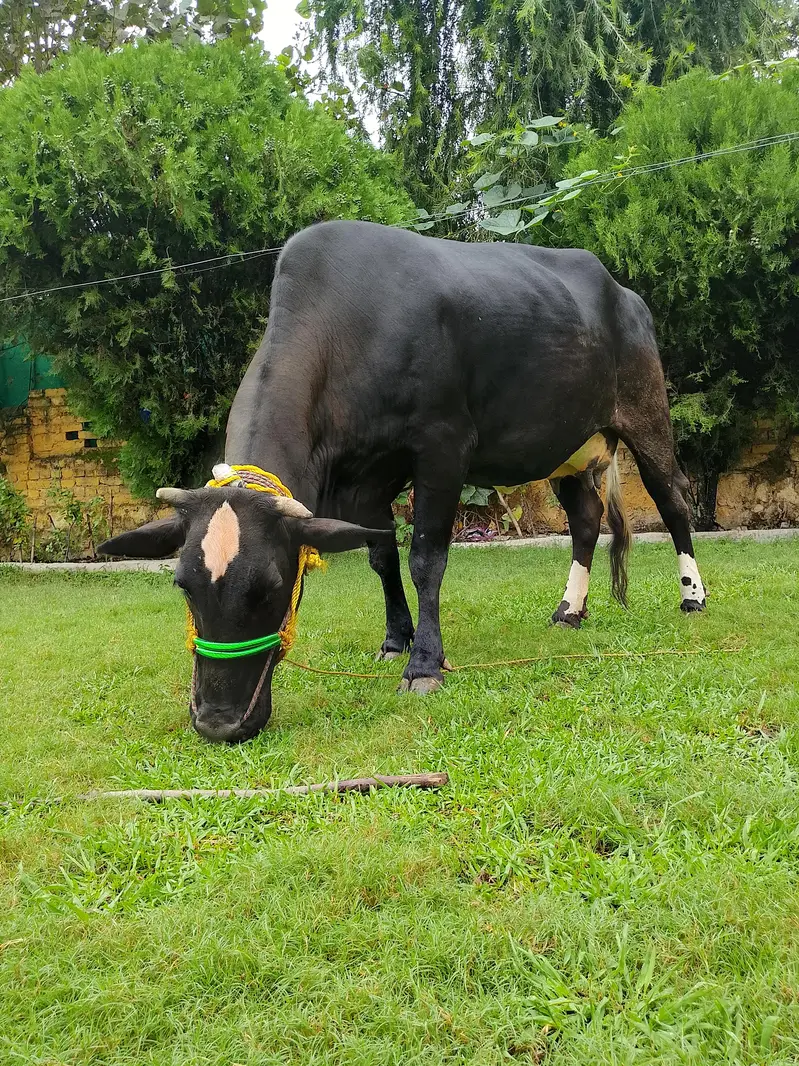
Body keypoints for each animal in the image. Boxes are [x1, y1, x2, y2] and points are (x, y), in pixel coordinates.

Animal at [99, 220, 706, 743]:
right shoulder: (369, 479)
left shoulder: (443, 447)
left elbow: (425, 559)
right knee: (584, 521)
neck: (352, 327)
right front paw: (395, 640)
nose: (218, 722)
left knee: (674, 500)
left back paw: (692, 597)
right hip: (565, 448)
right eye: (184, 585)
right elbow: (381, 557)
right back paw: (568, 612)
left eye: (270, 586)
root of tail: (624, 294)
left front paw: (424, 664)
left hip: (647, 411)